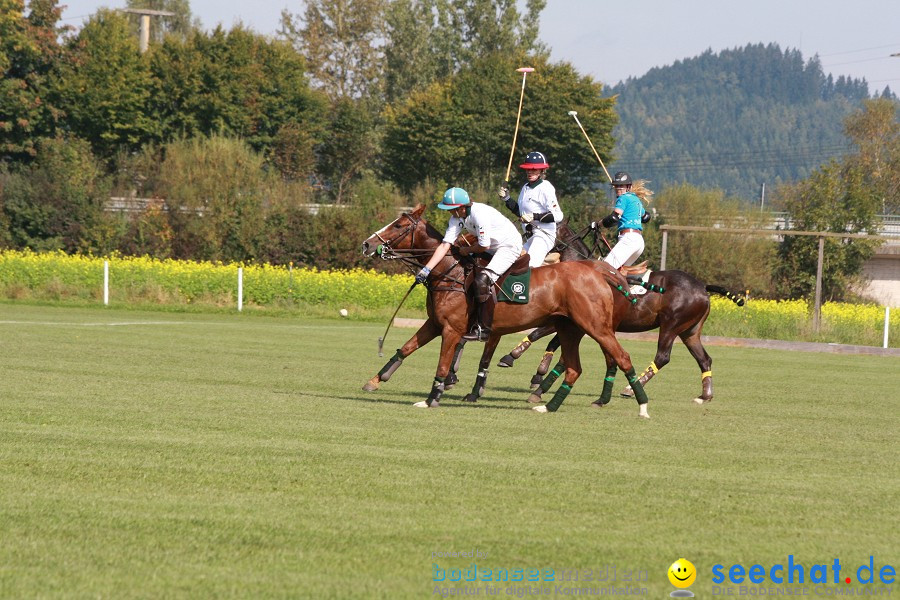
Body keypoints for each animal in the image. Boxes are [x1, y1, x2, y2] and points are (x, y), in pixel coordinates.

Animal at [362, 204, 652, 414]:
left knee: (620, 357)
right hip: (571, 328)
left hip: (596, 326)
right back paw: (548, 405)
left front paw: (434, 397)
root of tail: (601, 271)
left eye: (399, 225)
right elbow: (407, 348)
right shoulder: (435, 324)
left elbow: (445, 364)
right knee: (575, 367)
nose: (367, 244)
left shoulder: (453, 329)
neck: (449, 273)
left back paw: (641, 405)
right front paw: (375, 380)